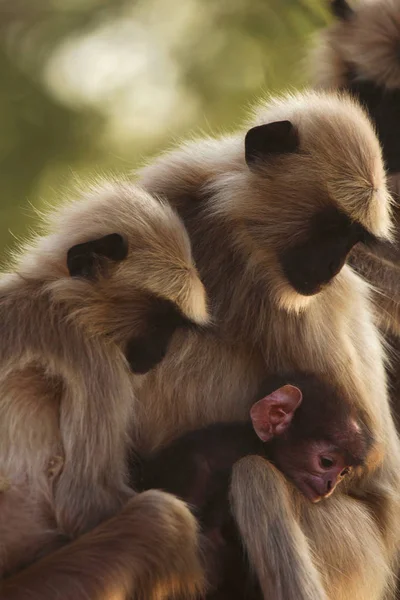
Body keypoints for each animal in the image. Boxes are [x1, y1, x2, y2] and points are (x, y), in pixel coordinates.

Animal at [0, 178, 206, 596]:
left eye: (174, 325)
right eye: (160, 321)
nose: (160, 352)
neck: (50, 294)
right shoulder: (89, 351)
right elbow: (83, 502)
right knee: (161, 516)